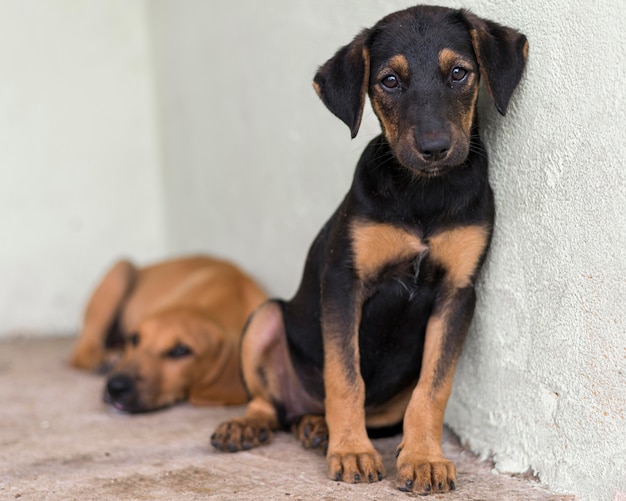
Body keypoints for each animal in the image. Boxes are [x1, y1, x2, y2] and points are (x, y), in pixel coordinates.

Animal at [70, 256, 266, 412]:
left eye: (180, 350)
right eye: (135, 339)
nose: (115, 387)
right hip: (121, 270)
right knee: (80, 351)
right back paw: (102, 360)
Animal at [211, 5, 528, 494]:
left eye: (459, 73)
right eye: (390, 81)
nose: (434, 148)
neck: (422, 195)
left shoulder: (457, 293)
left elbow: (433, 389)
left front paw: (423, 459)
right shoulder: (344, 282)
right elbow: (345, 378)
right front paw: (352, 452)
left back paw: (316, 427)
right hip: (266, 317)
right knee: (269, 400)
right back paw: (252, 425)